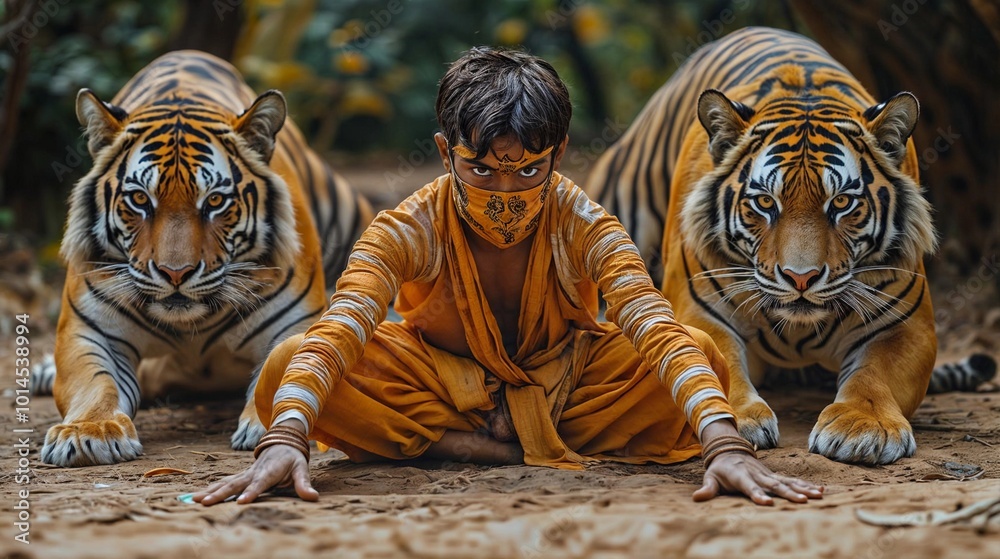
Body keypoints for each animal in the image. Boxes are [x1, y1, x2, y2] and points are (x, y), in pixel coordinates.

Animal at [39, 50, 373, 467]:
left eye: (214, 201)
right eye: (140, 199)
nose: (175, 273)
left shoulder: (295, 324)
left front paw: (264, 422)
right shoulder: (90, 331)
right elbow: (95, 383)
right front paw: (88, 433)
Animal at [585, 27, 996, 465]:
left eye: (841, 203)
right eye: (766, 203)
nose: (801, 278)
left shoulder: (905, 325)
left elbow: (874, 375)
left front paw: (863, 429)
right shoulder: (695, 310)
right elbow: (712, 364)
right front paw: (735, 421)